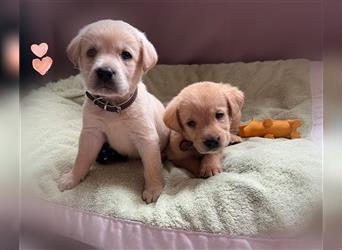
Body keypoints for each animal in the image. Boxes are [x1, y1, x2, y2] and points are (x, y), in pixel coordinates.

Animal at [57, 19, 170, 203]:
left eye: (126, 55)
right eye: (91, 52)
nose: (105, 72)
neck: (113, 106)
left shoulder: (147, 138)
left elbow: (152, 167)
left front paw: (153, 189)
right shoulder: (91, 134)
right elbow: (81, 158)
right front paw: (72, 178)